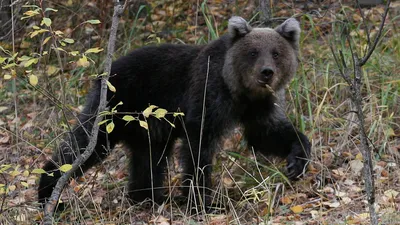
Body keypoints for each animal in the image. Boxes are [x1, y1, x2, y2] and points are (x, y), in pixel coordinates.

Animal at [38, 16, 310, 210]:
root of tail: (106, 70)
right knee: (86, 144)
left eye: (276, 52)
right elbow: (199, 147)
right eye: (253, 52)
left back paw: (148, 197)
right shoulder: (208, 94)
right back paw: (49, 192)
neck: (238, 90)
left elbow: (266, 133)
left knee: (149, 158)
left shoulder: (258, 106)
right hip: (116, 107)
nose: (266, 72)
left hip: (148, 125)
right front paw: (203, 201)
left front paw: (297, 161)